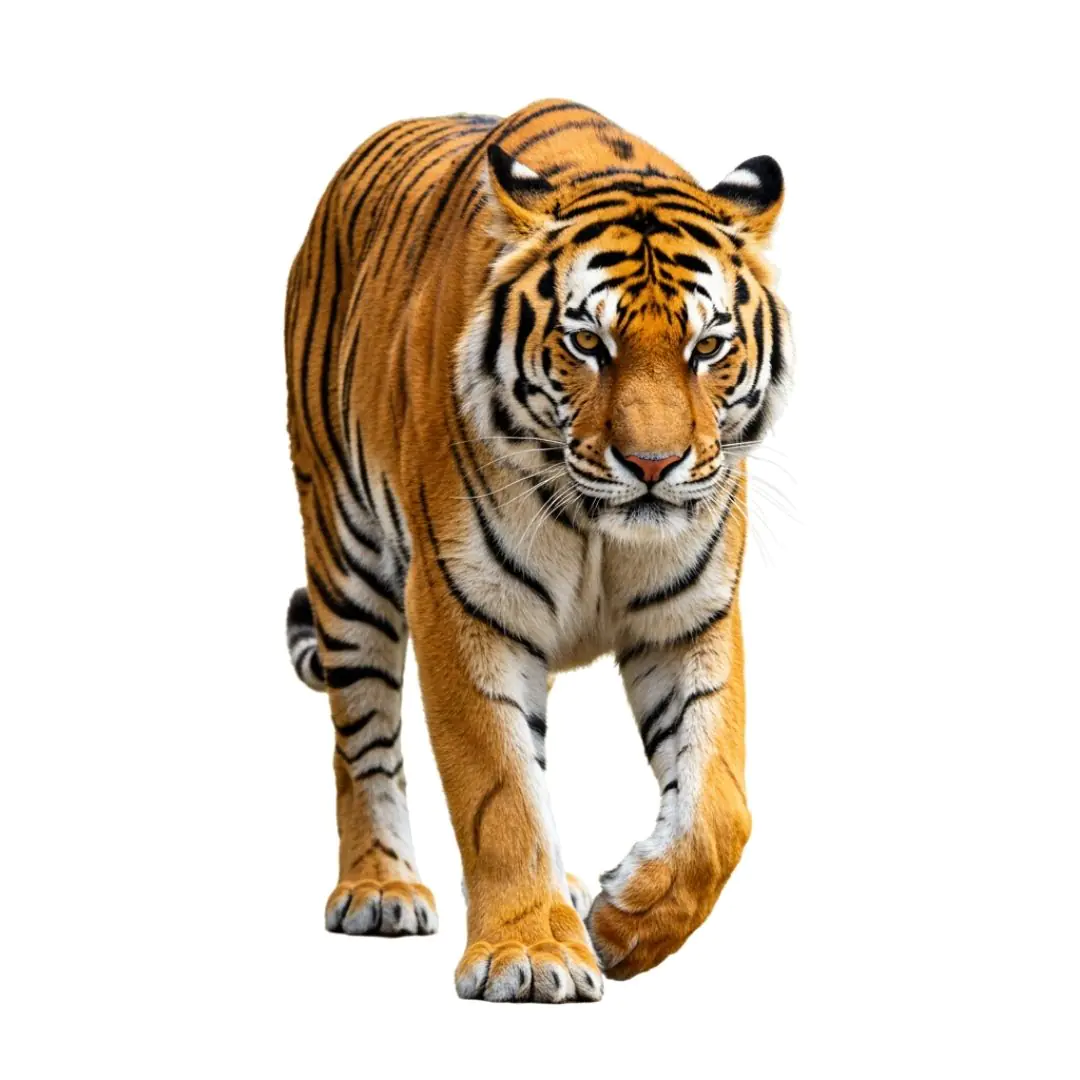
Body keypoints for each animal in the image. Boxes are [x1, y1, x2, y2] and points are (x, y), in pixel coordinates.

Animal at [283, 99, 791, 1003]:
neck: (599, 527)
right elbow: (499, 791)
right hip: (345, 557)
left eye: (707, 348)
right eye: (588, 344)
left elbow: (719, 808)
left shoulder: (691, 618)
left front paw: (623, 926)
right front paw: (531, 953)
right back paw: (380, 887)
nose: (654, 465)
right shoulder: (462, 607)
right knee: (362, 741)